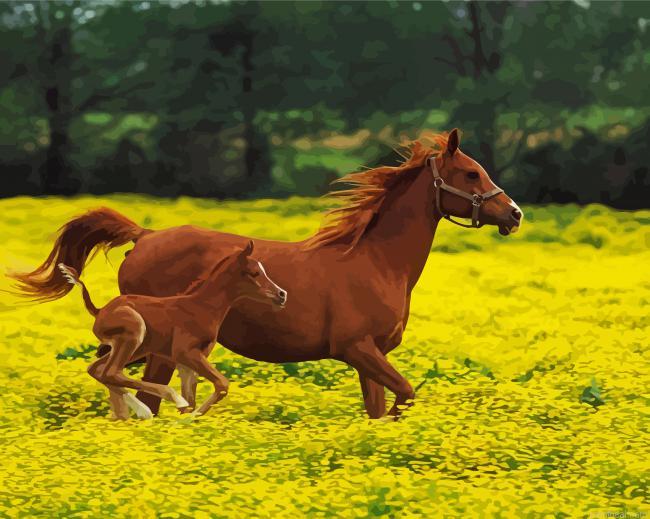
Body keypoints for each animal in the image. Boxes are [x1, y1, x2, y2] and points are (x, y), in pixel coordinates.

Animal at [57, 241, 286, 419]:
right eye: (254, 273)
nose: (281, 294)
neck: (202, 307)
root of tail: (99, 310)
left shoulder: (189, 361)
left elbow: (193, 397)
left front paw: (185, 422)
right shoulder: (185, 353)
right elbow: (221, 384)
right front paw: (188, 416)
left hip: (137, 347)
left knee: (97, 370)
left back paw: (138, 412)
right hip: (134, 334)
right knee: (111, 372)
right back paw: (159, 404)